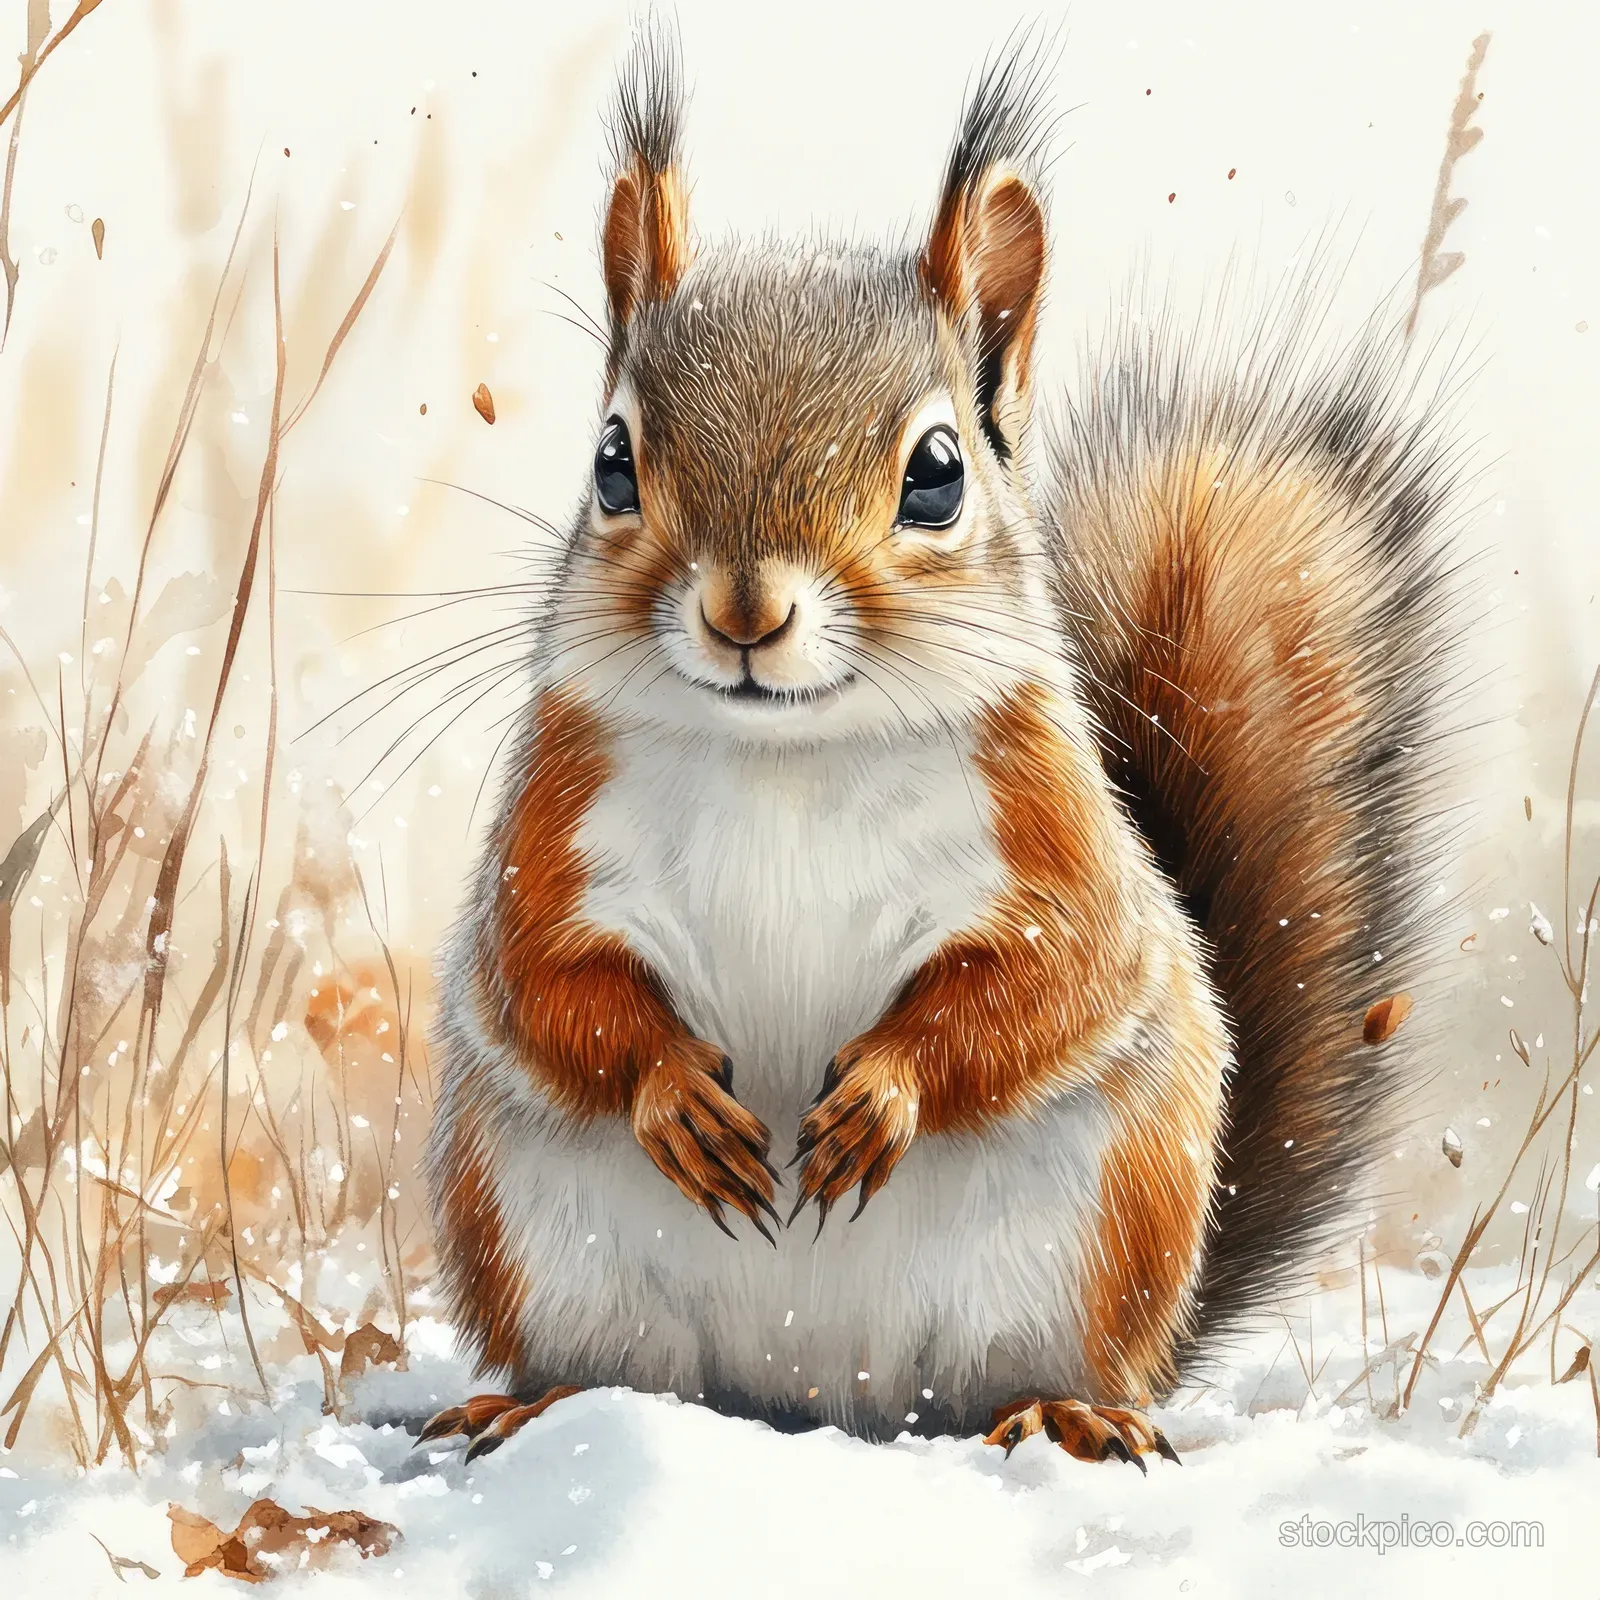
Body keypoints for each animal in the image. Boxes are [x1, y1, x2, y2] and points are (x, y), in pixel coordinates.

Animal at [419, 28, 1462, 1468]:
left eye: (937, 473)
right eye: (613, 460)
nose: (746, 612)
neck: (787, 758)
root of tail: (811, 1402)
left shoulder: (1059, 846)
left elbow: (1041, 986)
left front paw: (884, 1095)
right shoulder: (546, 840)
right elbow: (550, 985)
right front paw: (675, 1094)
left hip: (1088, 1239)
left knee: (1023, 1373)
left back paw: (1070, 1413)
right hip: (542, 1238)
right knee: (621, 1368)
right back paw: (540, 1402)